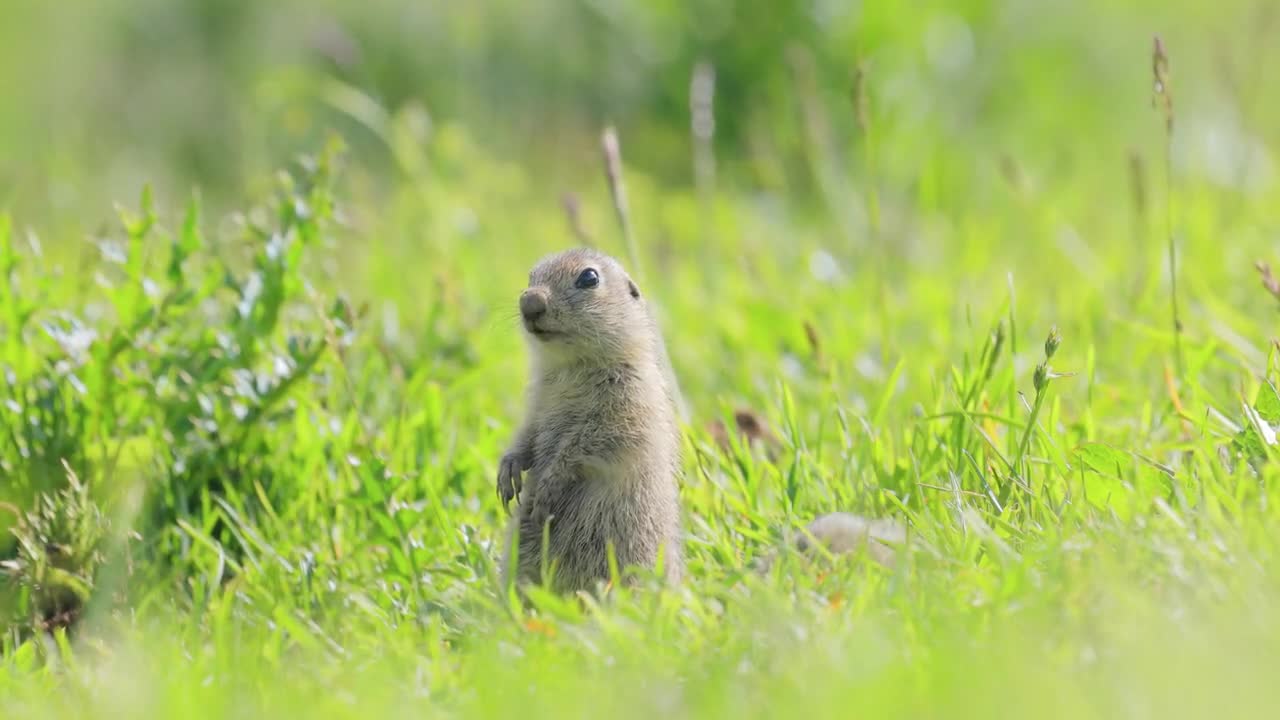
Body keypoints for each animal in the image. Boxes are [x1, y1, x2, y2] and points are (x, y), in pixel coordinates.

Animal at [494, 244, 686, 589]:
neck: (572, 367)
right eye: (531, 276)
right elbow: (527, 434)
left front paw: (549, 485)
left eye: (589, 278)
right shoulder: (537, 401)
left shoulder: (629, 402)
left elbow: (592, 441)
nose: (529, 302)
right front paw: (508, 470)